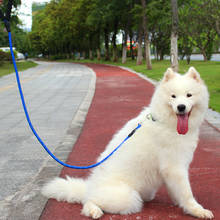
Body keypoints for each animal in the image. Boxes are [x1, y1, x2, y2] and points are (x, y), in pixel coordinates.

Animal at [42, 67, 214, 218]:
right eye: (173, 96)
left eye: (189, 95)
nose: (181, 107)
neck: (167, 123)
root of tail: (89, 187)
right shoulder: (174, 167)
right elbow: (187, 192)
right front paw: (196, 210)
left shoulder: (174, 169)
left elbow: (177, 191)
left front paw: (180, 204)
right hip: (128, 198)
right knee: (89, 201)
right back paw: (94, 211)